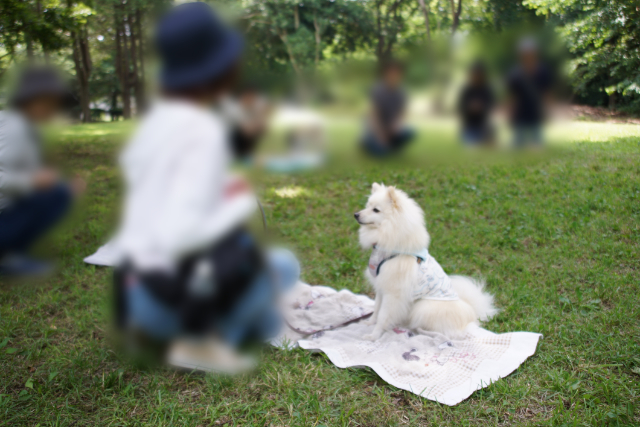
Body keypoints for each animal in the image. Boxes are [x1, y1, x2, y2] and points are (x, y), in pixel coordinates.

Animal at [356, 184, 496, 342]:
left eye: (376, 210)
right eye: (367, 206)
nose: (356, 214)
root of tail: (471, 313)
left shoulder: (393, 294)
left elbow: (383, 316)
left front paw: (373, 336)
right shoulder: (381, 287)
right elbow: (376, 309)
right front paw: (369, 323)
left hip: (423, 306)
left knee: (446, 333)